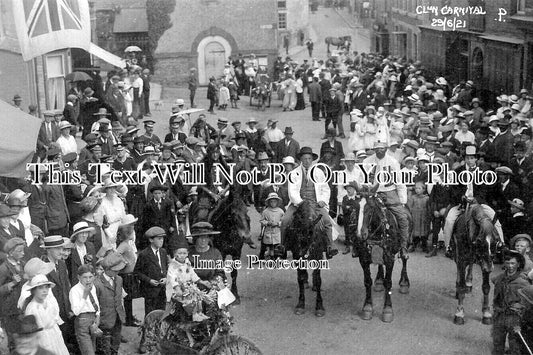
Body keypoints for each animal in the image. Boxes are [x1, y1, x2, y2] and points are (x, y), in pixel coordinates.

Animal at [354, 185, 412, 324]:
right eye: (356, 207)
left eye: (370, 208)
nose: (360, 234)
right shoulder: (363, 259)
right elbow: (367, 281)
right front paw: (367, 307)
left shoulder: (390, 259)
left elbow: (388, 283)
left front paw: (387, 310)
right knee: (380, 265)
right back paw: (379, 280)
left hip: (406, 243)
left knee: (404, 259)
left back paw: (404, 283)